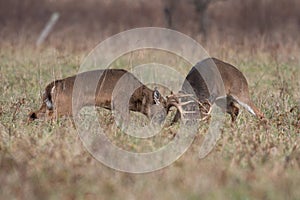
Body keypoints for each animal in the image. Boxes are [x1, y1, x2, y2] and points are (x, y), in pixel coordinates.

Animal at [29, 69, 182, 122]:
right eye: (161, 112)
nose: (159, 124)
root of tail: (54, 85)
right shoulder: (121, 103)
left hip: (49, 105)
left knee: (32, 114)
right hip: (66, 106)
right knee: (48, 117)